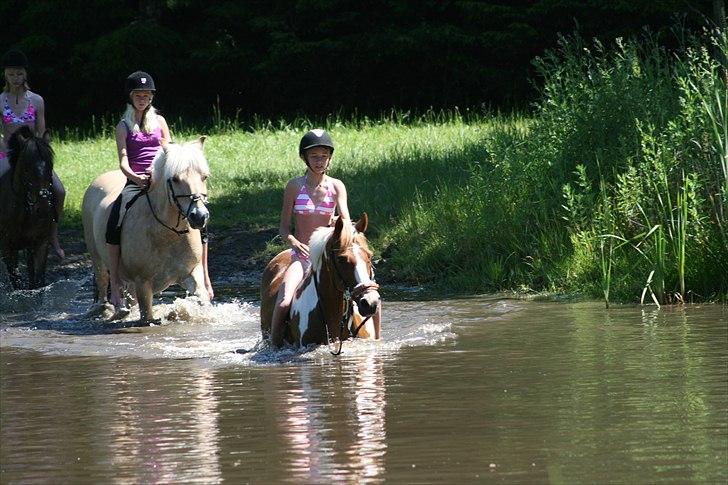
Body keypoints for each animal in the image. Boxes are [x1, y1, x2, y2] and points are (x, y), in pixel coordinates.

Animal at [0, 126, 56, 290]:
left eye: (50, 166)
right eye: (26, 169)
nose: (43, 209)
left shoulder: (40, 243)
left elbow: (38, 282)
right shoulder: (7, 247)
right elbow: (16, 282)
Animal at [83, 138, 212, 324]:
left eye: (204, 177)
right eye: (175, 179)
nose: (199, 216)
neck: (168, 234)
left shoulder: (191, 272)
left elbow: (202, 298)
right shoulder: (143, 284)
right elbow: (146, 318)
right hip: (98, 260)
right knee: (104, 283)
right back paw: (111, 310)